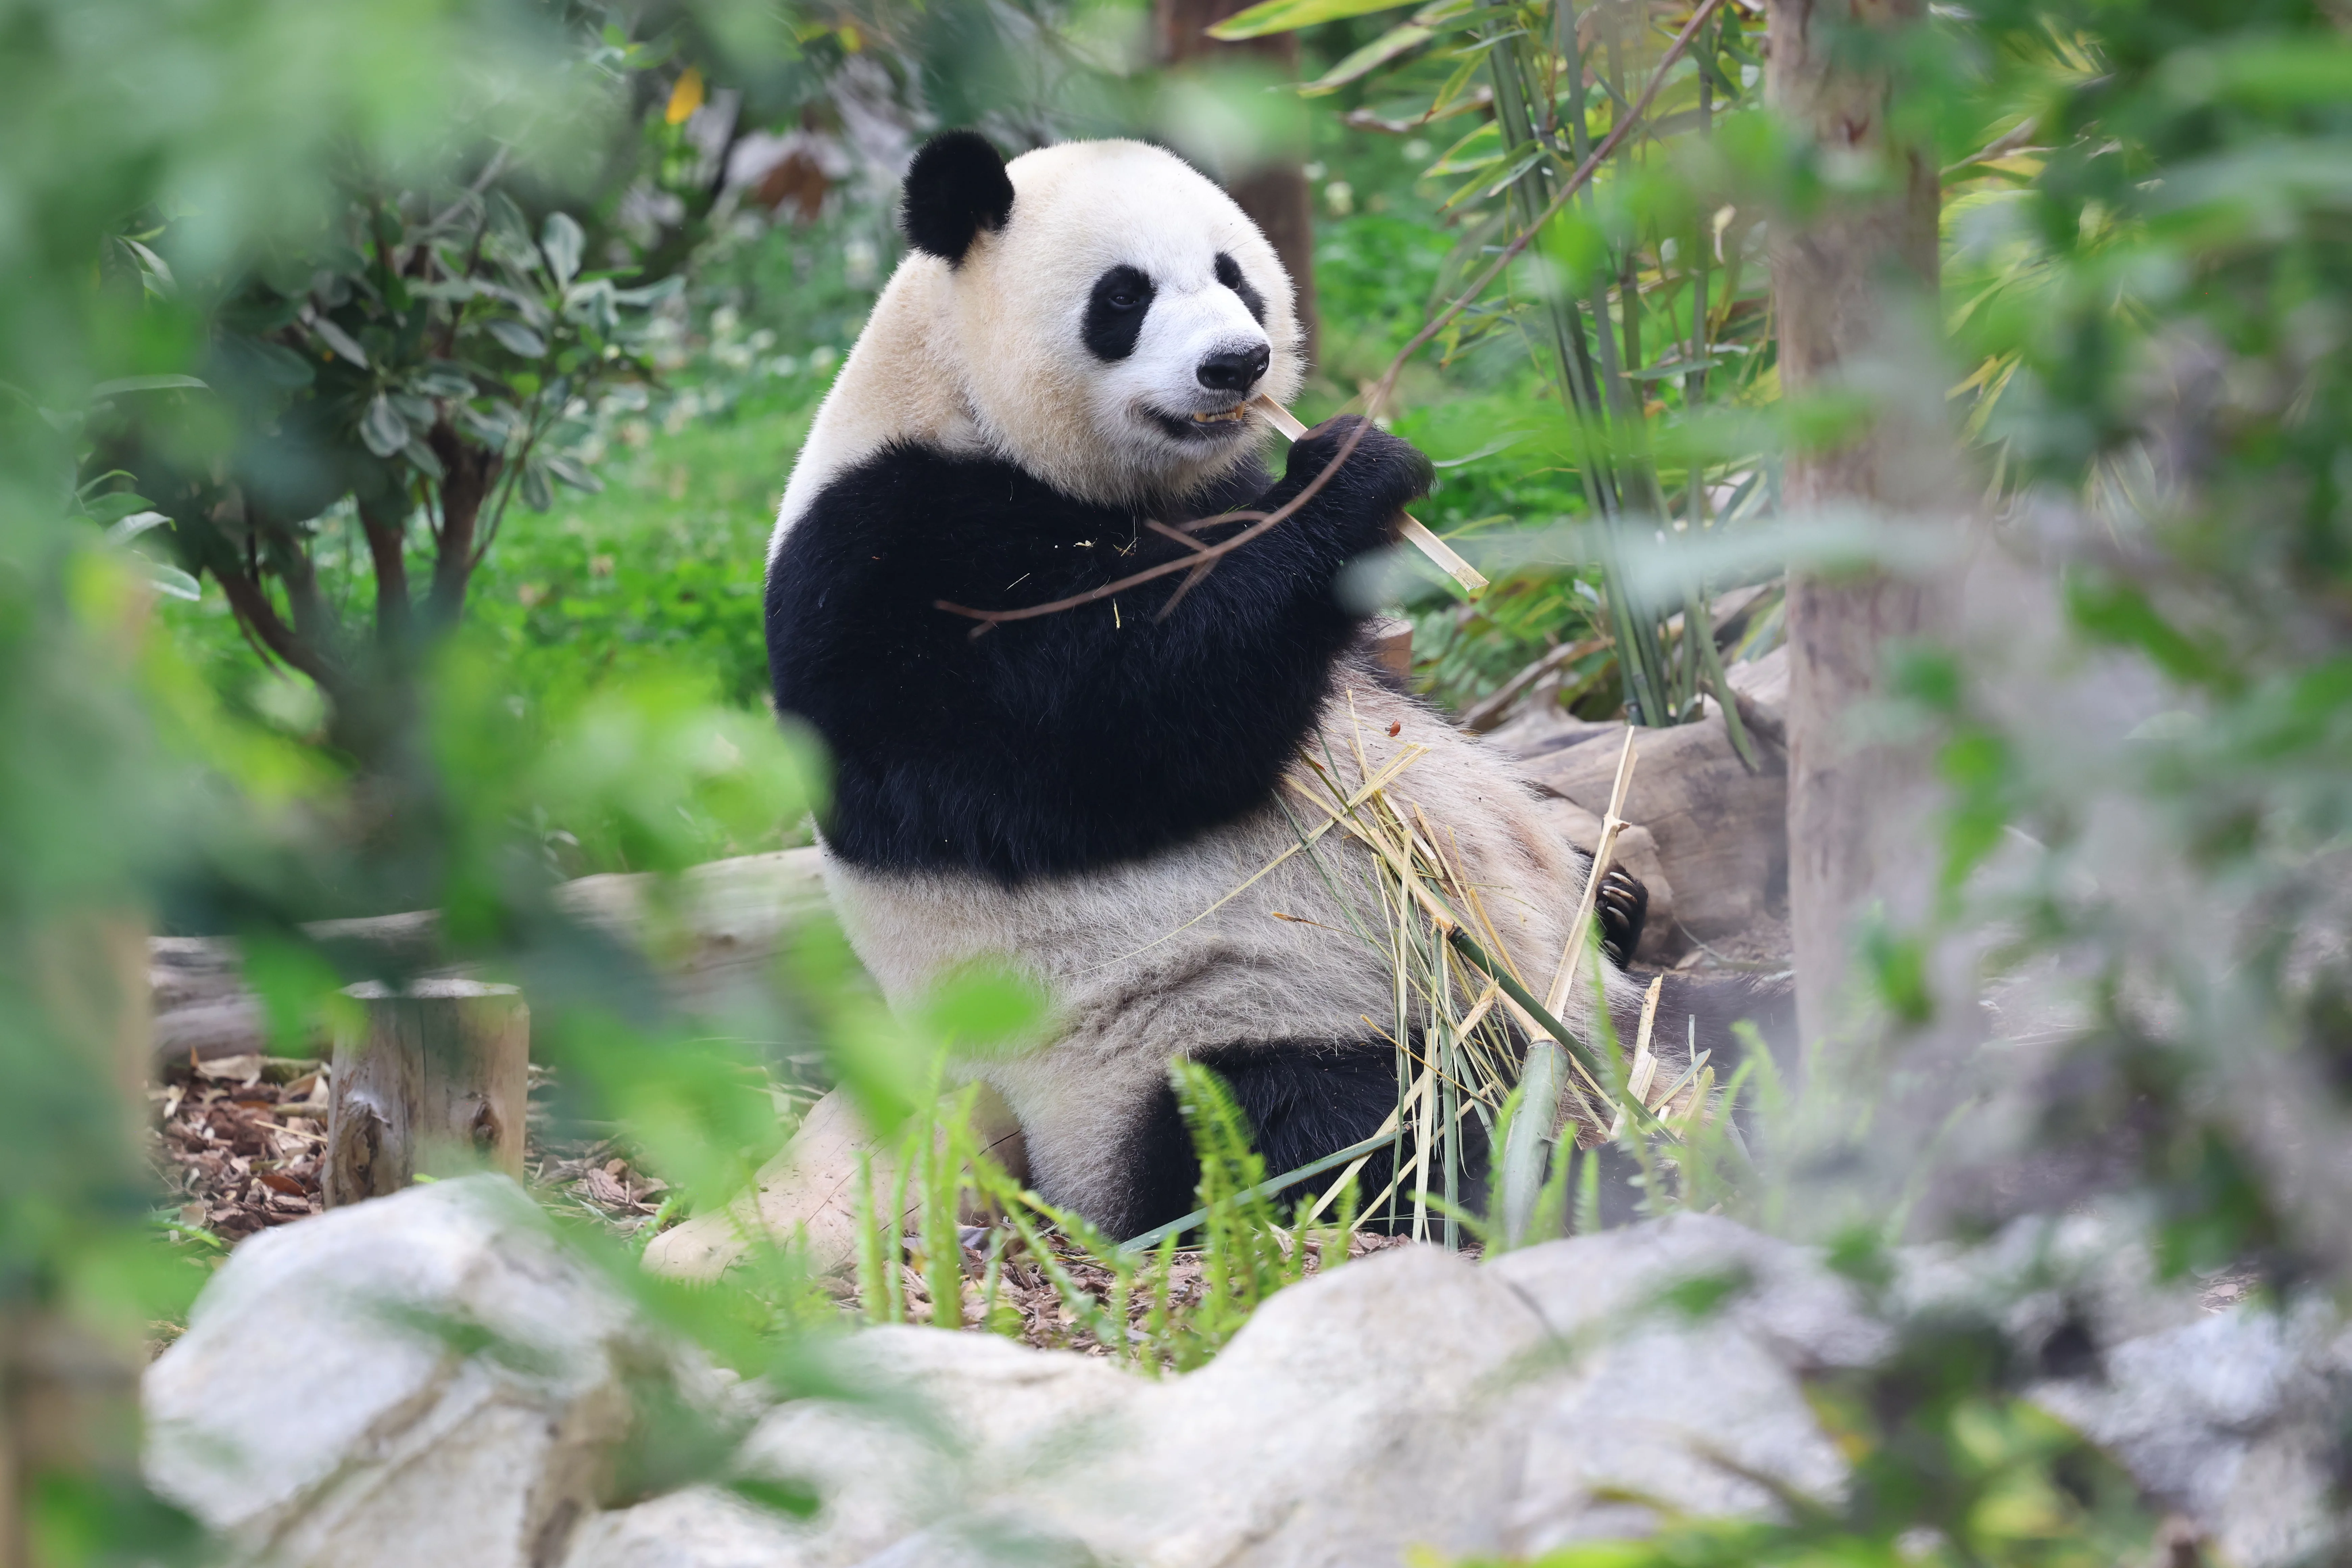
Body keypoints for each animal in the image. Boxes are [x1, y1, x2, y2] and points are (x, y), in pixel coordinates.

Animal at [764, 130, 1758, 1241]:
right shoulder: (884, 563)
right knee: (1359, 1127)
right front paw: (1349, 473)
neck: (963, 405)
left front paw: (1608, 871)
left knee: (1733, 1017)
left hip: (1603, 998)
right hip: (1203, 1039)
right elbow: (1110, 722)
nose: (1237, 363)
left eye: (1233, 273)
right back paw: (1594, 1169)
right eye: (1123, 296)